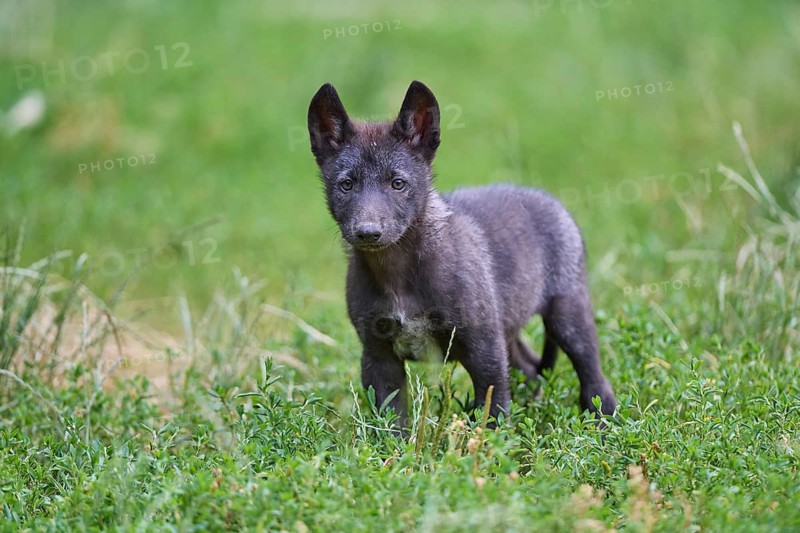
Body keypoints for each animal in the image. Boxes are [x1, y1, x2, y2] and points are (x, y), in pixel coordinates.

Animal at [307, 80, 617, 426]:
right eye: (346, 184)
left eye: (398, 183)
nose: (368, 232)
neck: (398, 270)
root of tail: (555, 204)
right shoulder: (378, 356)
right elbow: (393, 422)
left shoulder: (483, 347)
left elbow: (493, 411)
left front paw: (491, 440)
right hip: (509, 328)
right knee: (529, 371)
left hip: (568, 315)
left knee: (593, 377)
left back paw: (604, 422)